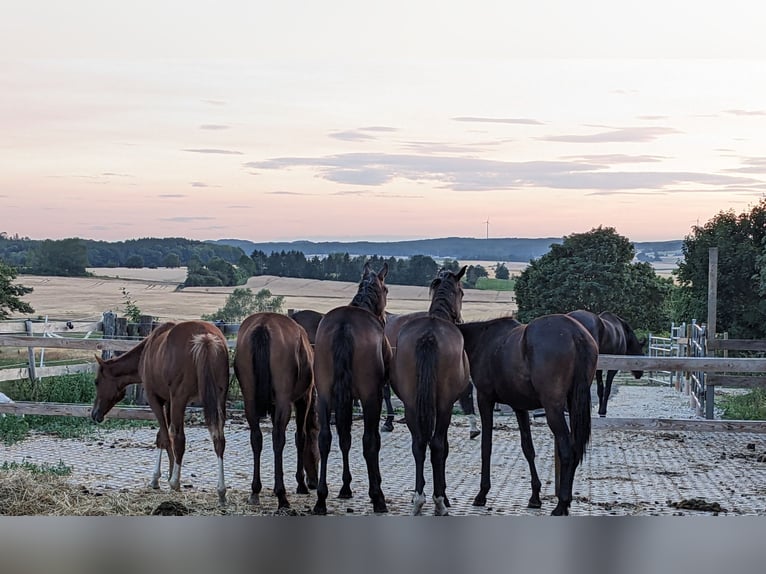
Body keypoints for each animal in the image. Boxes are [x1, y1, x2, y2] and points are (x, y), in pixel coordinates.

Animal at [92, 322, 230, 506]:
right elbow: (162, 436)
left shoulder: (156, 400)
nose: (95, 414)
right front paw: (166, 474)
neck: (147, 352)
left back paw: (175, 482)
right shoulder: (169, 402)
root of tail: (206, 338)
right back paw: (221, 491)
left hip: (181, 399)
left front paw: (162, 478)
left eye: (96, 382)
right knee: (218, 440)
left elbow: (165, 437)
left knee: (180, 439)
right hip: (219, 398)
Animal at [232, 312, 320, 510]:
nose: (314, 482)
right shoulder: (303, 399)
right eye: (316, 446)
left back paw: (255, 491)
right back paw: (282, 496)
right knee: (278, 438)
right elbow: (301, 437)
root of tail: (263, 325)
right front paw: (301, 484)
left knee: (256, 438)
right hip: (284, 402)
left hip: (250, 401)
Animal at [314, 264, 396, 516]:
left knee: (325, 439)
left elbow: (344, 438)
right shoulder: (373, 396)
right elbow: (370, 440)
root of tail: (344, 326)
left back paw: (321, 499)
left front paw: (345, 486)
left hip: (324, 396)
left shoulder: (346, 398)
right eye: (386, 289)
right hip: (370, 397)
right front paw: (374, 487)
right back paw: (378, 498)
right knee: (369, 441)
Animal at [390, 268, 474, 516]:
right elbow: (443, 448)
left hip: (411, 405)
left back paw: (418, 498)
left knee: (418, 444)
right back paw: (438, 501)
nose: (461, 319)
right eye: (462, 292)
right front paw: (444, 496)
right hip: (444, 406)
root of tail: (428, 336)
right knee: (436, 446)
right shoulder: (445, 407)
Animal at [456, 316, 600, 516]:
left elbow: (486, 446)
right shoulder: (520, 407)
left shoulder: (485, 399)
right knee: (576, 449)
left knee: (567, 450)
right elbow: (528, 449)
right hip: (574, 405)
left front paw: (482, 493)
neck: (483, 340)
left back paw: (561, 504)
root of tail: (575, 334)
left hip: (553, 409)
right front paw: (535, 497)